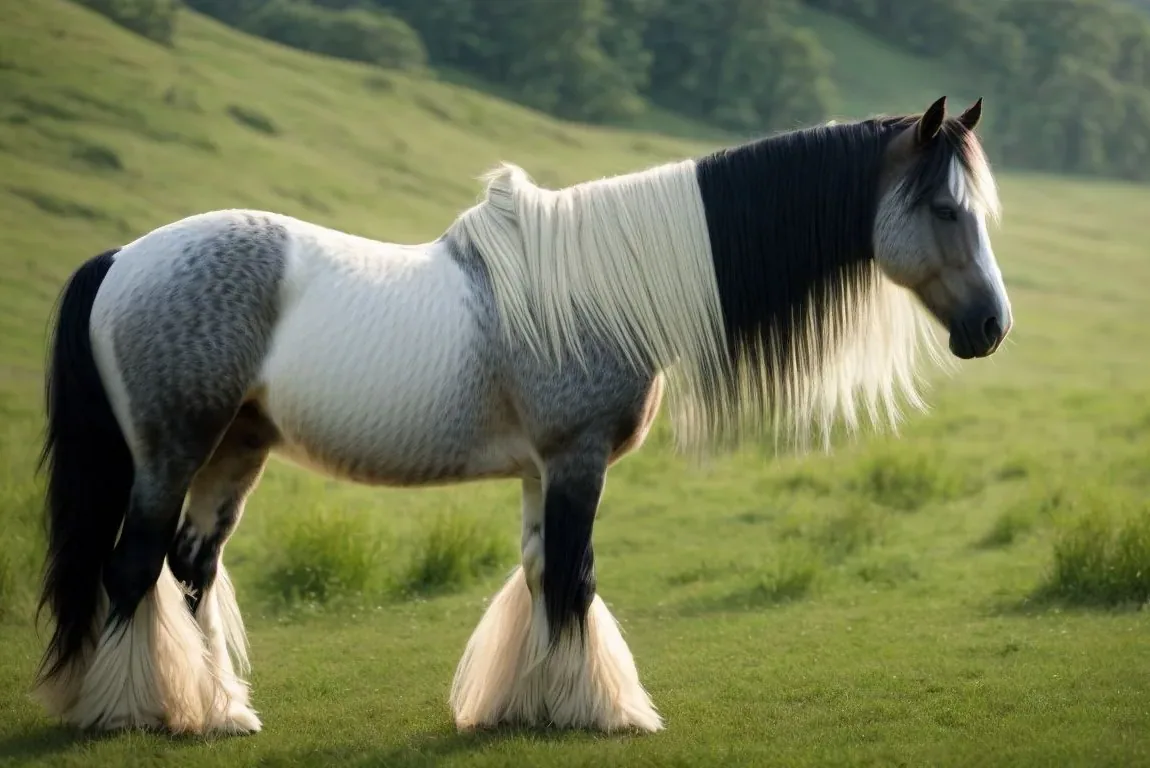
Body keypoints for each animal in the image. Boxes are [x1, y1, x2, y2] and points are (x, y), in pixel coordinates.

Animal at [32, 95, 1011, 736]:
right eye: (943, 207)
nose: (991, 328)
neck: (608, 285)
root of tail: (125, 259)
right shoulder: (577, 460)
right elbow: (575, 578)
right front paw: (602, 713)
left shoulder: (545, 471)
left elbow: (543, 576)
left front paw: (525, 706)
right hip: (172, 453)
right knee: (133, 569)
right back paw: (132, 714)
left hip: (235, 452)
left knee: (191, 568)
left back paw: (219, 711)